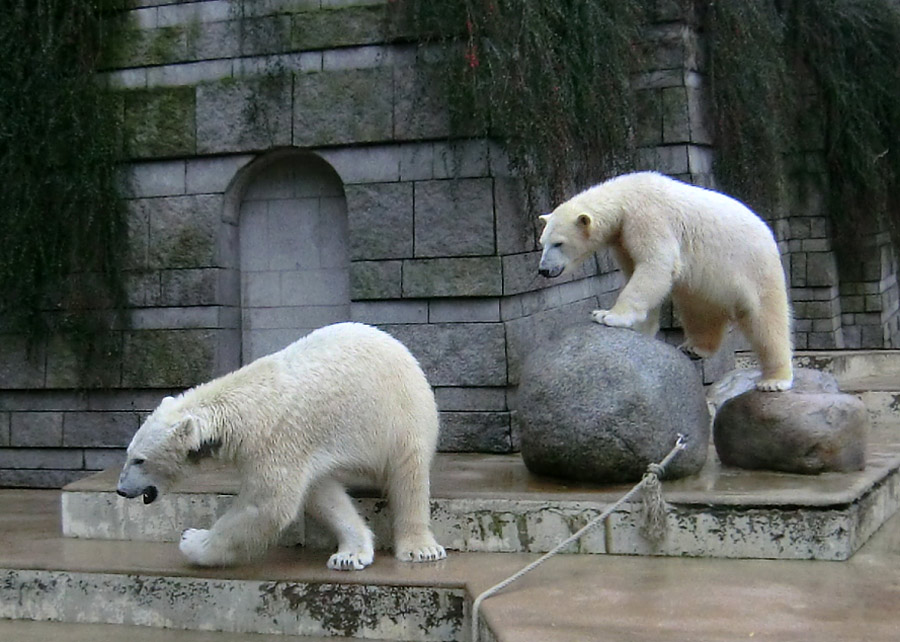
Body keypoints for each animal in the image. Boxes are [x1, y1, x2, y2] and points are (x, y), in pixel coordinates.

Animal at [116, 322, 446, 568]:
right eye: (128, 454)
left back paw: (420, 548)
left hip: (398, 414)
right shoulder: (304, 451)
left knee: (409, 473)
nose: (120, 489)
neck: (238, 409)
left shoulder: (276, 440)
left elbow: (266, 506)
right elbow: (319, 492)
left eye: (139, 460)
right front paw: (351, 553)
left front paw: (192, 540)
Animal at [536, 170, 792, 390]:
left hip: (753, 267)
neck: (625, 196)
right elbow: (636, 272)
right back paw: (695, 347)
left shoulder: (648, 218)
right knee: (699, 311)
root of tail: (767, 232)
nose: (543, 270)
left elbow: (655, 266)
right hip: (706, 283)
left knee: (766, 321)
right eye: (542, 243)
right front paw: (641, 328)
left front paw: (607, 315)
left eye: (558, 243)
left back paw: (775, 380)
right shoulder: (622, 239)